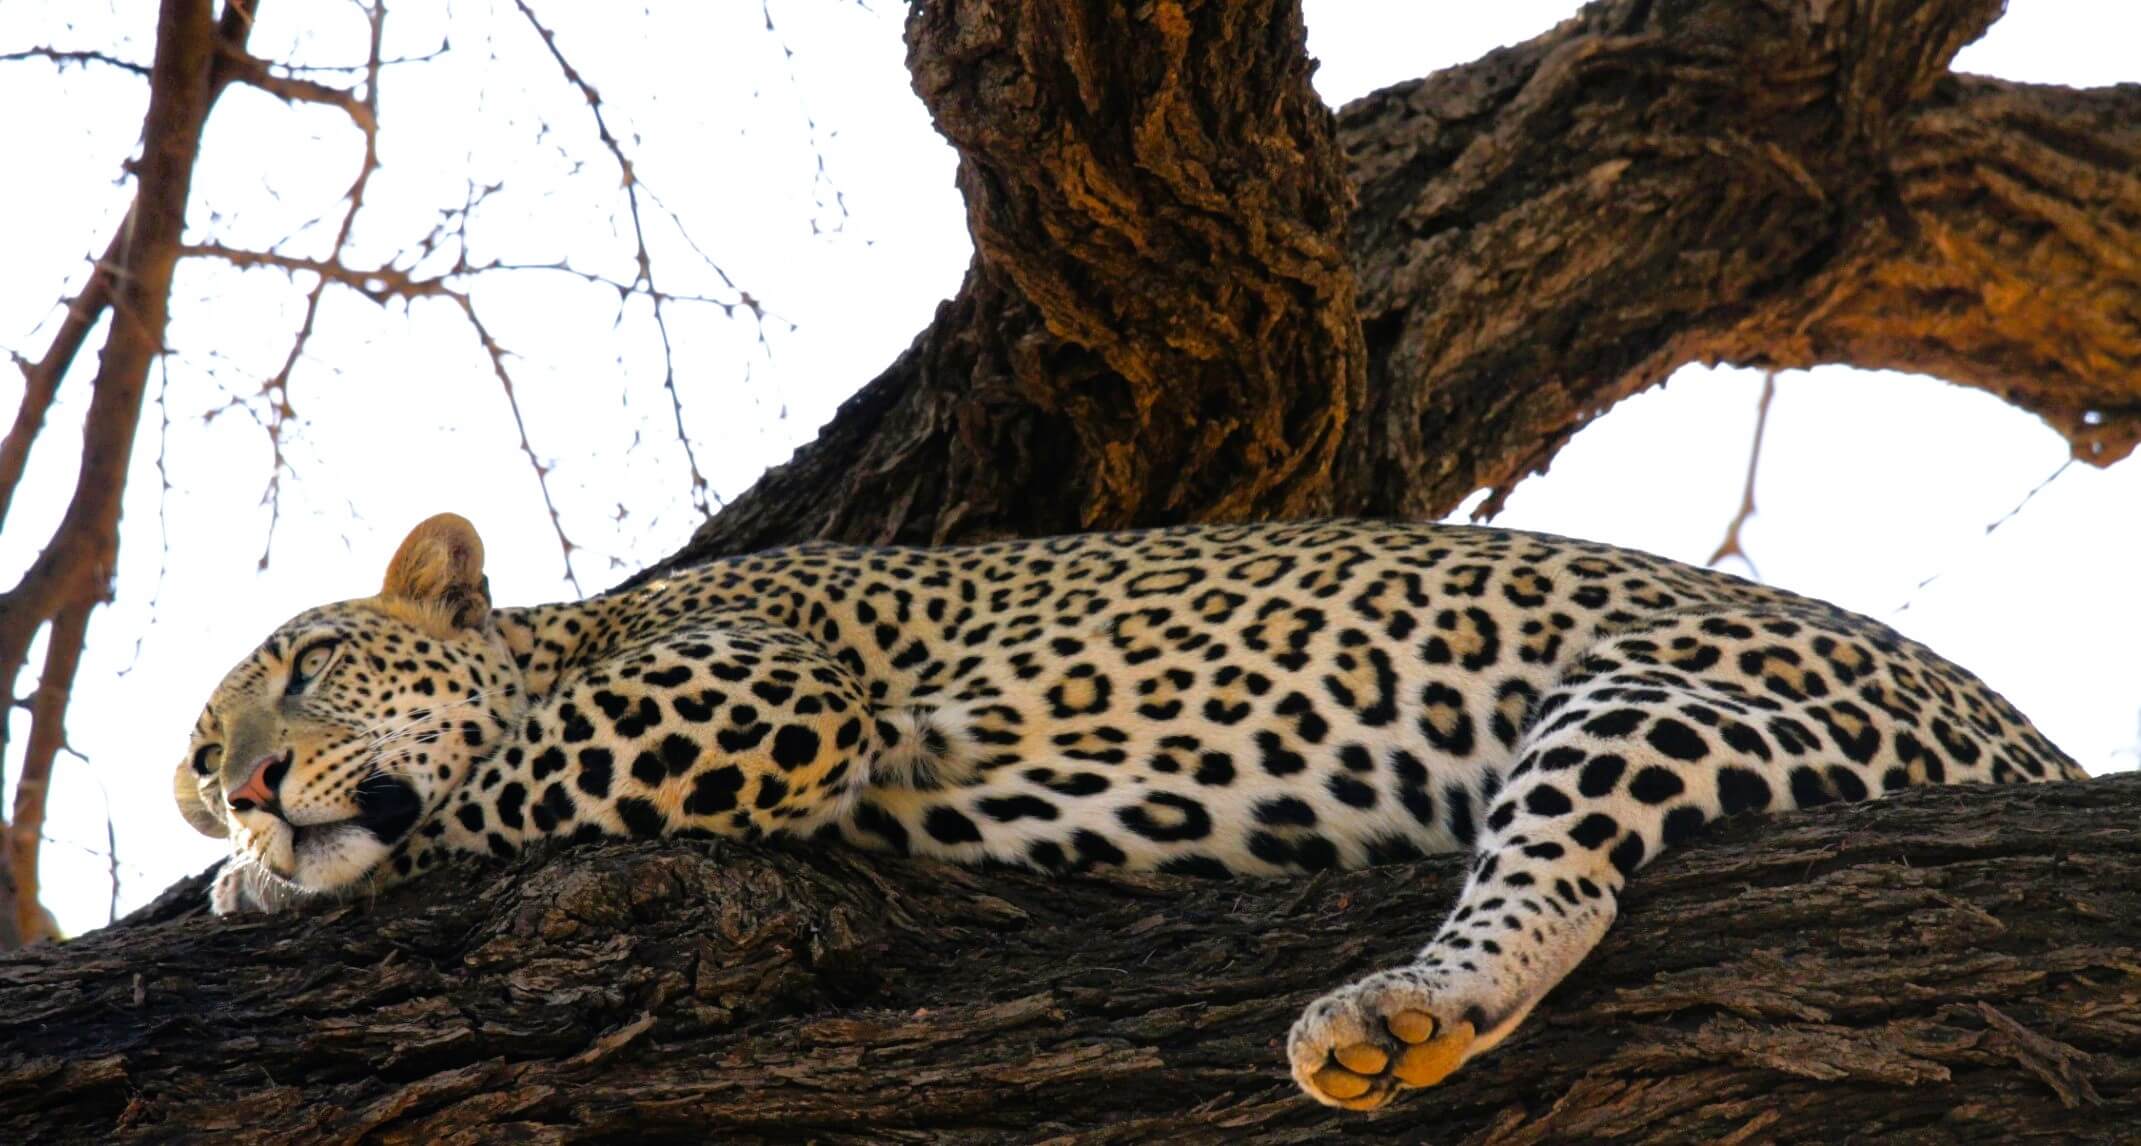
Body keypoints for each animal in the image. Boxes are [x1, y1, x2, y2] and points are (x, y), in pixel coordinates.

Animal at [174, 513, 2086, 1110]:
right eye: (195, 760)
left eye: (310, 666)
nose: (242, 784)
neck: (582, 623)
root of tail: (2041, 750)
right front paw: (250, 871)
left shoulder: (764, 685)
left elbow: (497, 781)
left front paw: (267, 886)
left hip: (1651, 698)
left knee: (1553, 871)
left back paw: (1393, 1010)